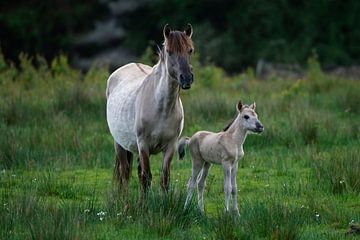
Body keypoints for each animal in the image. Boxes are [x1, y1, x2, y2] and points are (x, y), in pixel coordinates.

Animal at [105, 24, 195, 192]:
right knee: (125, 173)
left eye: (190, 50)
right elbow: (146, 177)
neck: (162, 108)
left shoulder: (170, 146)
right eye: (169, 51)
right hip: (119, 144)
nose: (186, 78)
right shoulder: (143, 145)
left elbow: (164, 179)